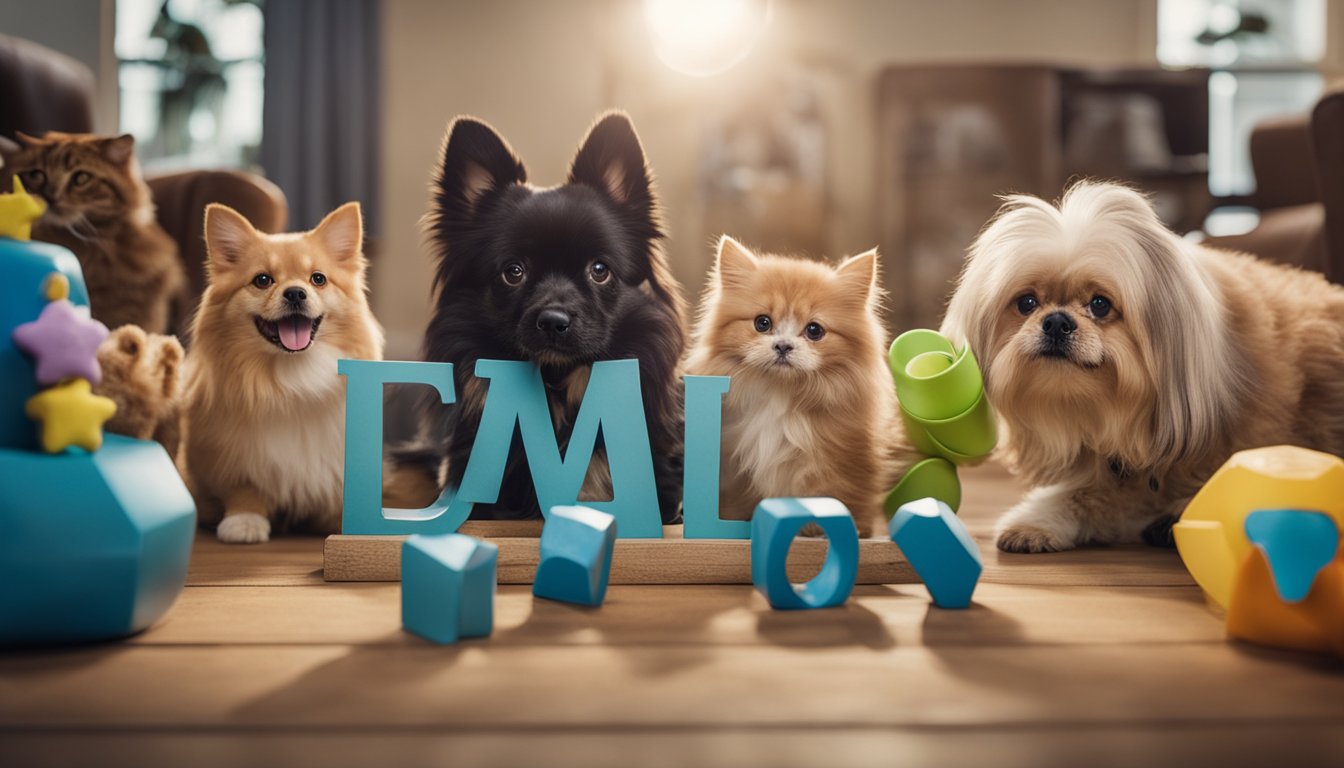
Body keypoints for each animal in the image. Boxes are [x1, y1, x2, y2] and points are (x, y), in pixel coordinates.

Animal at [178, 201, 384, 543]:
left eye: (318, 279)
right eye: (262, 280)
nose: (296, 293)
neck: (294, 372)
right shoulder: (234, 456)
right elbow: (244, 488)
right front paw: (244, 521)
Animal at [688, 238, 897, 538]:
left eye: (814, 330)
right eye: (762, 323)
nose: (783, 346)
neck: (780, 393)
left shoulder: (835, 460)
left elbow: (827, 495)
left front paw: (817, 529)